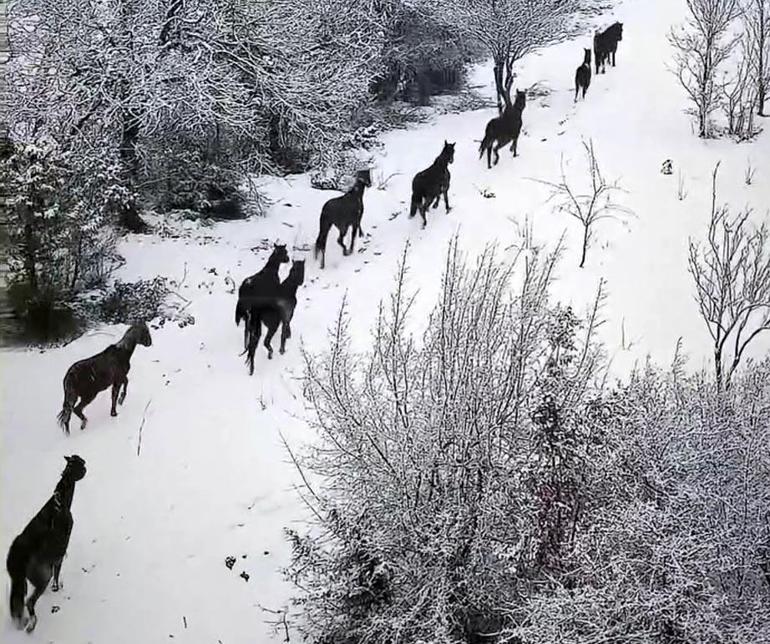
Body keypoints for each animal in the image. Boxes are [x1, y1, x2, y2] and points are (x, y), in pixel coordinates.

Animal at [7, 456, 86, 632]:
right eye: (80, 463)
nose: (86, 467)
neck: (60, 501)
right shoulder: (59, 553)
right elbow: (57, 572)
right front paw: (57, 588)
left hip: (19, 582)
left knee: (18, 604)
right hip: (41, 576)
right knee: (29, 601)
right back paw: (32, 624)